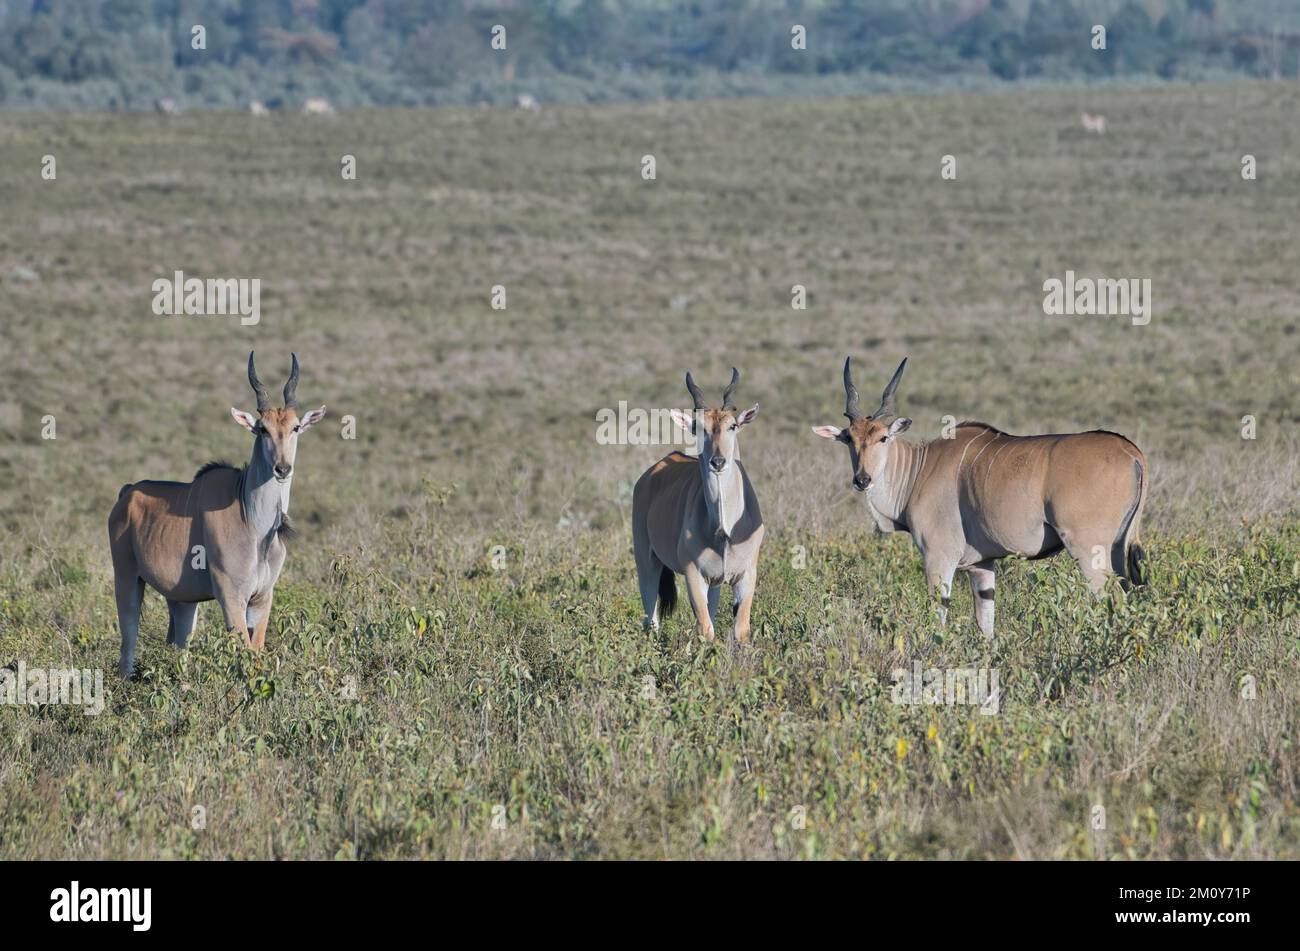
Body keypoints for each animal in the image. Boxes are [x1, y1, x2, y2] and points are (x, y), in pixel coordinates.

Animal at [109, 350, 327, 675]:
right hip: (126, 579)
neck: (254, 525)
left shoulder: (262, 598)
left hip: (183, 600)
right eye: (262, 429)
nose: (282, 468)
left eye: (295, 427)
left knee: (179, 644)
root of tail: (127, 493)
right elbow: (246, 653)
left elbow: (257, 649)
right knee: (128, 645)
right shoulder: (231, 597)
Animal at [629, 368, 759, 641]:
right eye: (699, 428)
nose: (717, 462)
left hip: (715, 583)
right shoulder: (693, 575)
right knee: (650, 619)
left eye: (733, 425)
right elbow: (705, 628)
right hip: (647, 562)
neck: (723, 530)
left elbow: (740, 630)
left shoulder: (745, 576)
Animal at [806, 361, 1154, 634]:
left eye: (882, 438)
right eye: (849, 439)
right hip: (1118, 549)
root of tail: (1131, 452)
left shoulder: (939, 557)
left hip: (1088, 550)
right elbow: (986, 625)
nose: (862, 479)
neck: (920, 468)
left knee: (1115, 600)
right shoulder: (983, 566)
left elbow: (938, 617)